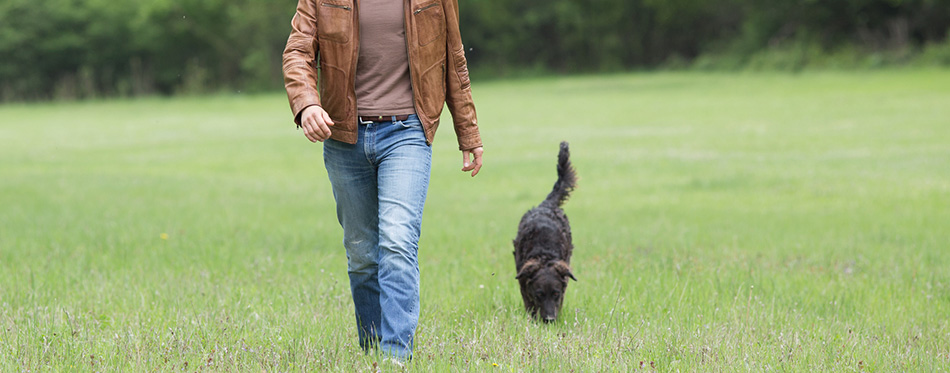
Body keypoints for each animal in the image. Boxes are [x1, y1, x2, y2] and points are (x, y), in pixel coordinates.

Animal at [512, 141, 580, 322]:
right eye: (539, 294)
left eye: (555, 293)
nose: (549, 320)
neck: (544, 252)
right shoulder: (523, 280)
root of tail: (547, 204)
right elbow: (528, 302)